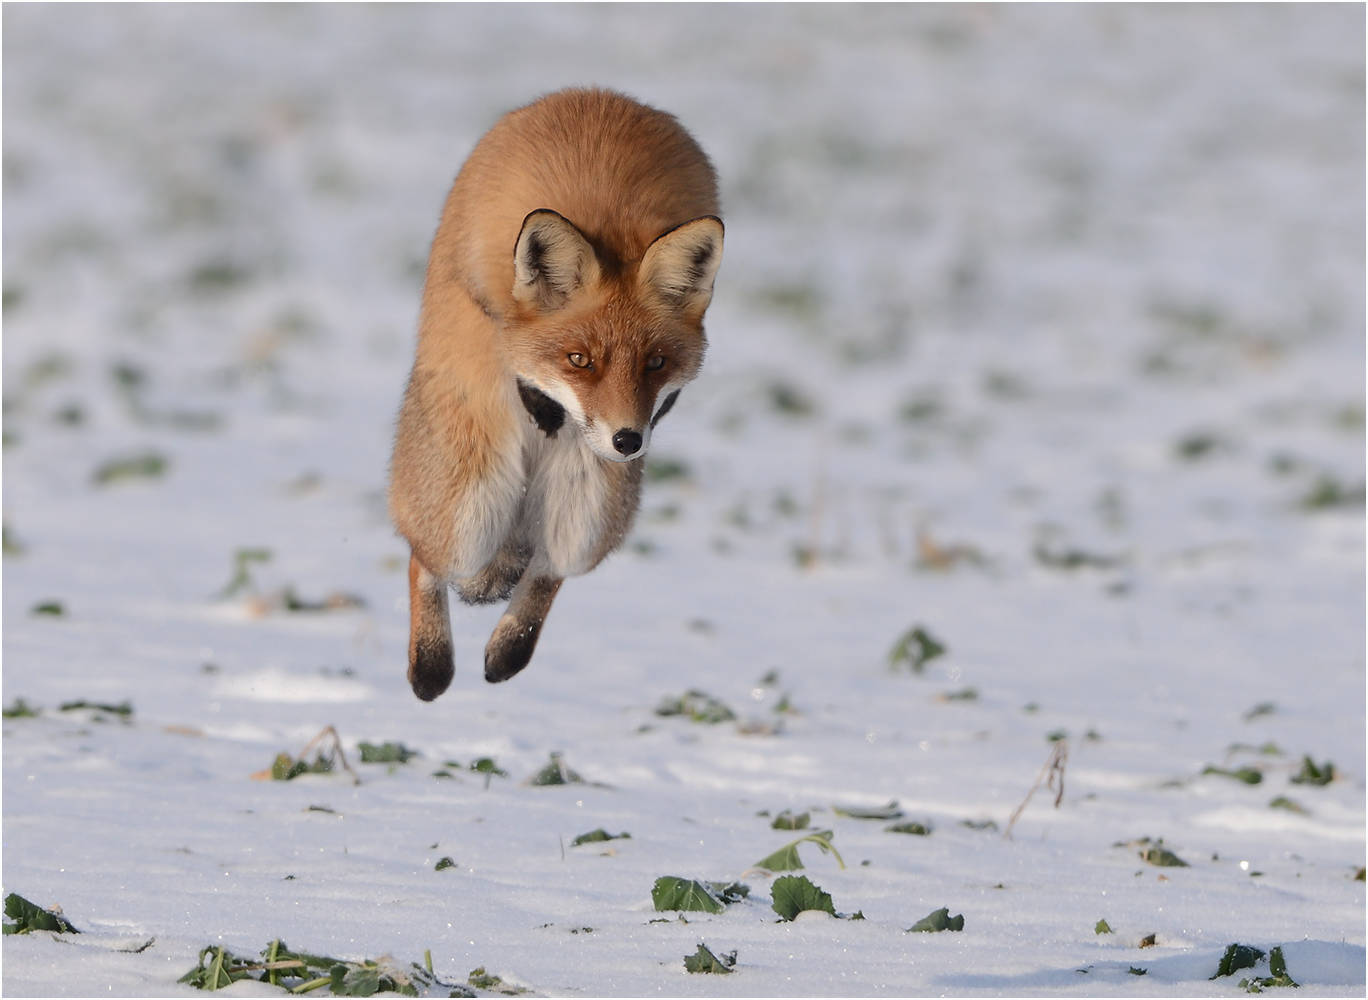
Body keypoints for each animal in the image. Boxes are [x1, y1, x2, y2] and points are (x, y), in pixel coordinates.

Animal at [388, 90, 722, 700]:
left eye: (655, 364)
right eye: (579, 360)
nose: (627, 440)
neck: (606, 202)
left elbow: (544, 574)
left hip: (588, 509)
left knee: (547, 568)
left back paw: (506, 651)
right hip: (467, 510)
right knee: (425, 559)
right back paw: (431, 665)